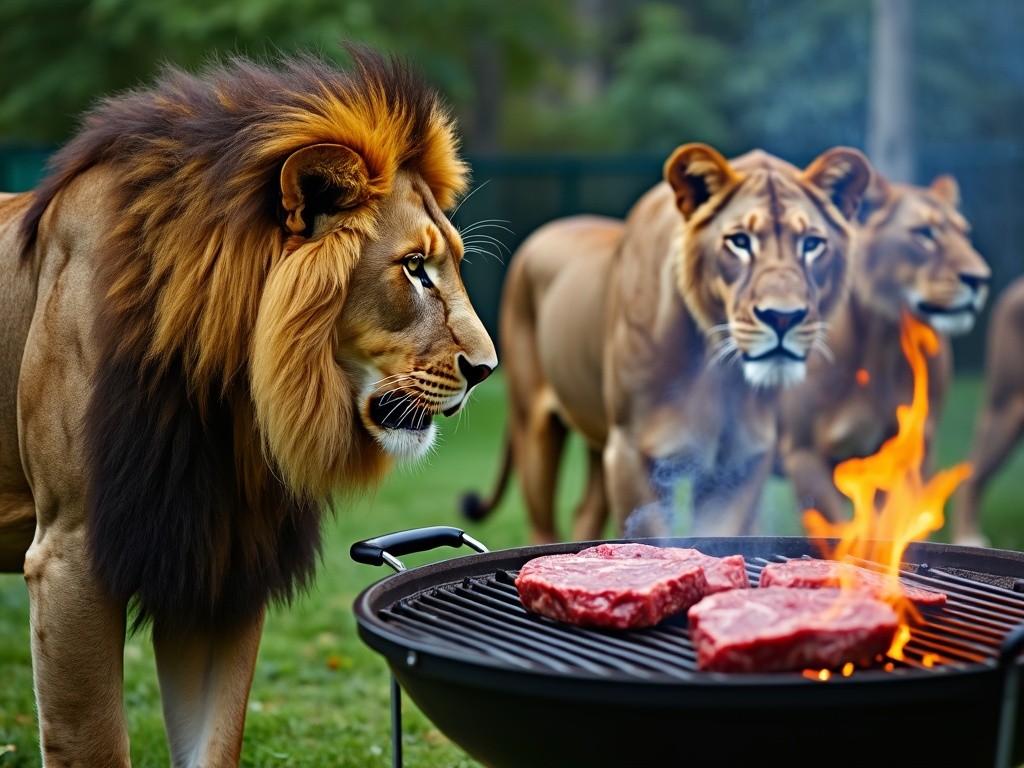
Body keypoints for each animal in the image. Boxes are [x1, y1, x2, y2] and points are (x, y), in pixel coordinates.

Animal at [0, 45, 495, 765]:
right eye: (413, 268)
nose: (487, 370)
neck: (229, 396)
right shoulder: (70, 555)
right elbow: (94, 744)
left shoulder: (218, 557)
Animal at [464, 143, 872, 540]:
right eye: (739, 242)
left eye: (812, 244)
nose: (783, 317)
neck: (716, 369)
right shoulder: (629, 451)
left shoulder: (741, 461)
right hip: (534, 427)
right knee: (543, 526)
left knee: (584, 514)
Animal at [778, 172, 987, 528]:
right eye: (924, 234)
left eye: (966, 234)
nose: (980, 279)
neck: (886, 344)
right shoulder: (804, 454)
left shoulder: (911, 451)